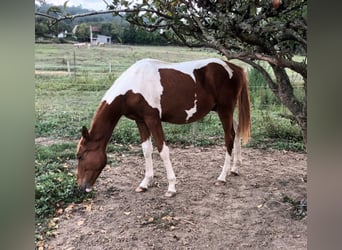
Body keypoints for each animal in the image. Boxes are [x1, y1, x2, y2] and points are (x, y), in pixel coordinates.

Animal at [76, 57, 250, 196]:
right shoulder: (140, 121)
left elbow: (162, 150)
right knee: (236, 130)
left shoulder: (153, 120)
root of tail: (234, 68)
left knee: (229, 137)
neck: (133, 86)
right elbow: (146, 150)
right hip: (224, 111)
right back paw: (234, 168)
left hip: (224, 110)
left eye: (79, 156)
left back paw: (222, 177)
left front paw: (171, 187)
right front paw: (145, 183)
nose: (80, 187)